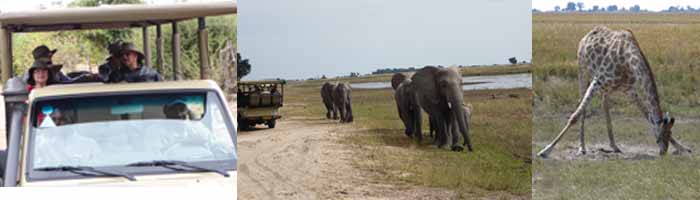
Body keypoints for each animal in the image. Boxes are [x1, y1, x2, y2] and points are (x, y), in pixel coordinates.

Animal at [540, 25, 692, 158]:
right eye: (659, 136)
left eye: (670, 134)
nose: (663, 152)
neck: (628, 62)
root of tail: (587, 35)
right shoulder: (597, 81)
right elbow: (574, 116)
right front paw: (546, 150)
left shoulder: (630, 90)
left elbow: (646, 114)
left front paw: (683, 148)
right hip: (583, 70)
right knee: (582, 106)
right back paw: (582, 147)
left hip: (607, 87)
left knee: (605, 106)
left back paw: (614, 145)